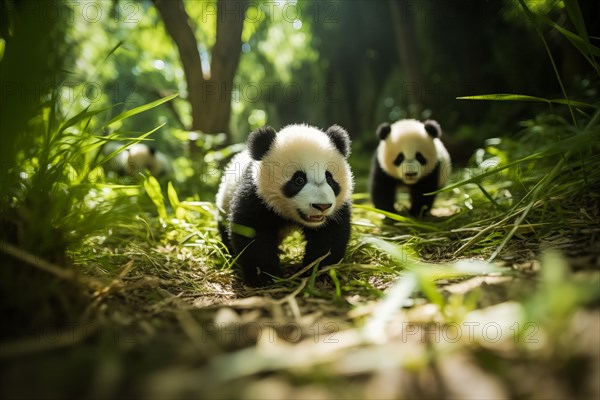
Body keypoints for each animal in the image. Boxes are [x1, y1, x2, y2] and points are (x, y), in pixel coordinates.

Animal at [217, 123, 354, 286]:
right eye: (299, 180)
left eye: (329, 178)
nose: (322, 206)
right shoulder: (256, 196)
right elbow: (252, 233)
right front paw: (264, 276)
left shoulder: (336, 210)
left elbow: (329, 236)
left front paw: (318, 272)